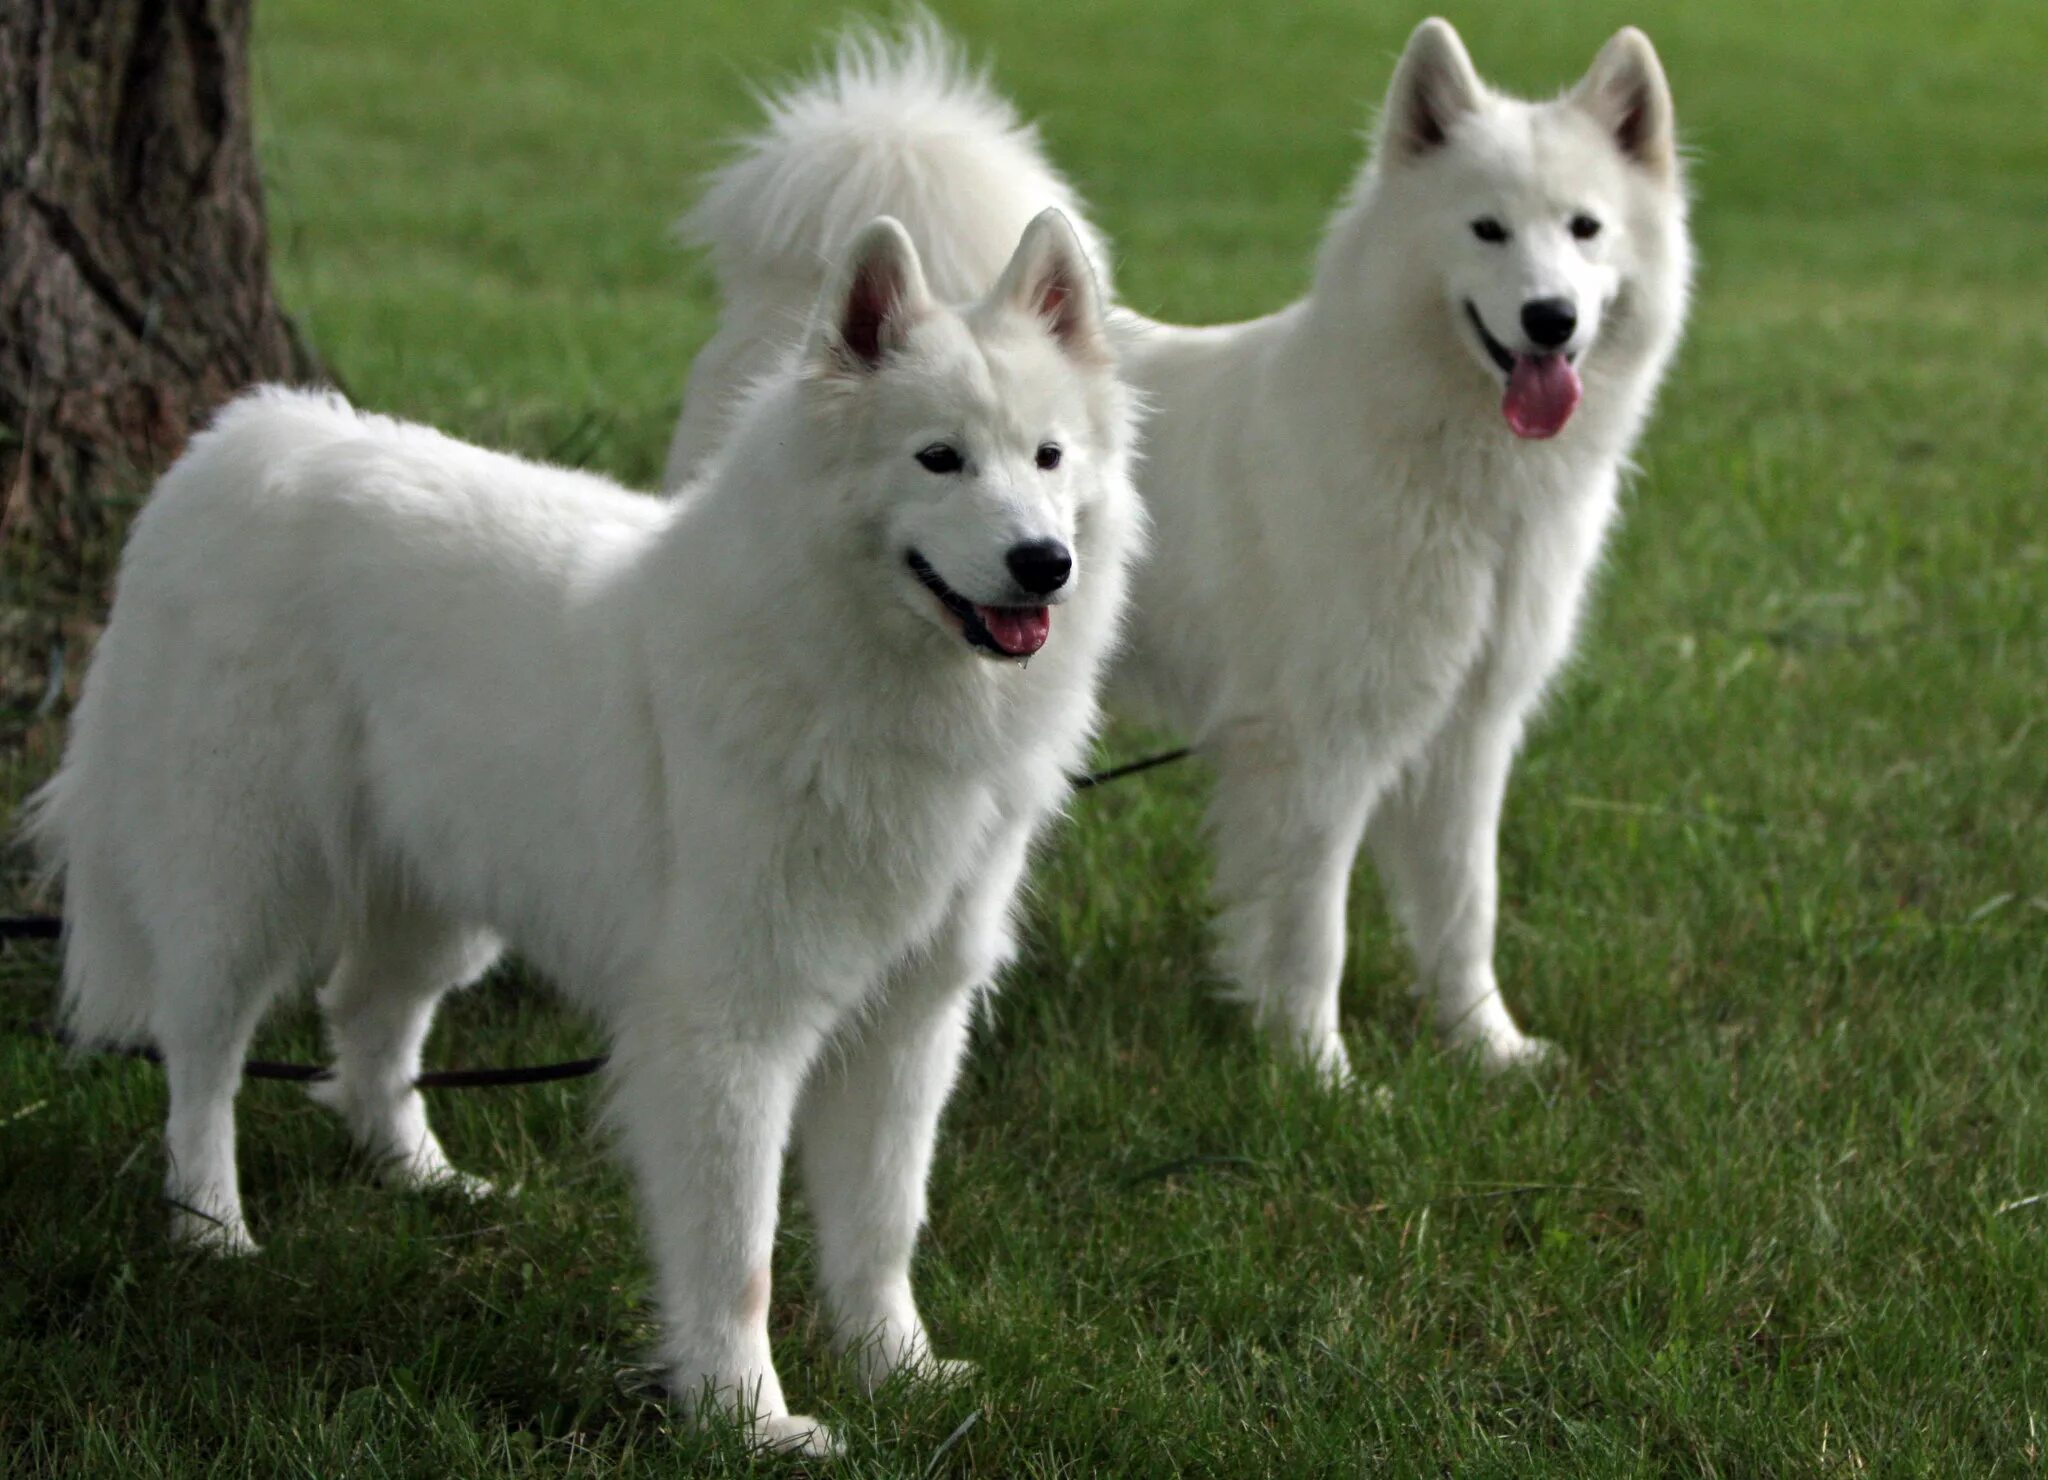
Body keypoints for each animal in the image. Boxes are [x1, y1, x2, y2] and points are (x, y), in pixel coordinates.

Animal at [32, 208, 1146, 1457]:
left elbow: (881, 1224)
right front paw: (747, 1420)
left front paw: (896, 1370)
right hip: (248, 880)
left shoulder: (907, 1022)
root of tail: (230, 445)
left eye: (1047, 458)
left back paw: (426, 1180)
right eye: (938, 458)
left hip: (444, 892)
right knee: (202, 1059)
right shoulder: (728, 1034)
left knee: (366, 1022)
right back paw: (212, 1231)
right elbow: (738, 1256)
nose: (1041, 562)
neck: (848, 676)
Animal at [671, 17, 1695, 1080]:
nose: (1550, 318)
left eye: (1584, 229)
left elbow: (1465, 909)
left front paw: (1488, 1048)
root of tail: (786, 303)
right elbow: (1312, 932)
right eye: (1486, 229)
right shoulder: (1314, 748)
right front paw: (1320, 1077)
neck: (1466, 483)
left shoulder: (1470, 731)